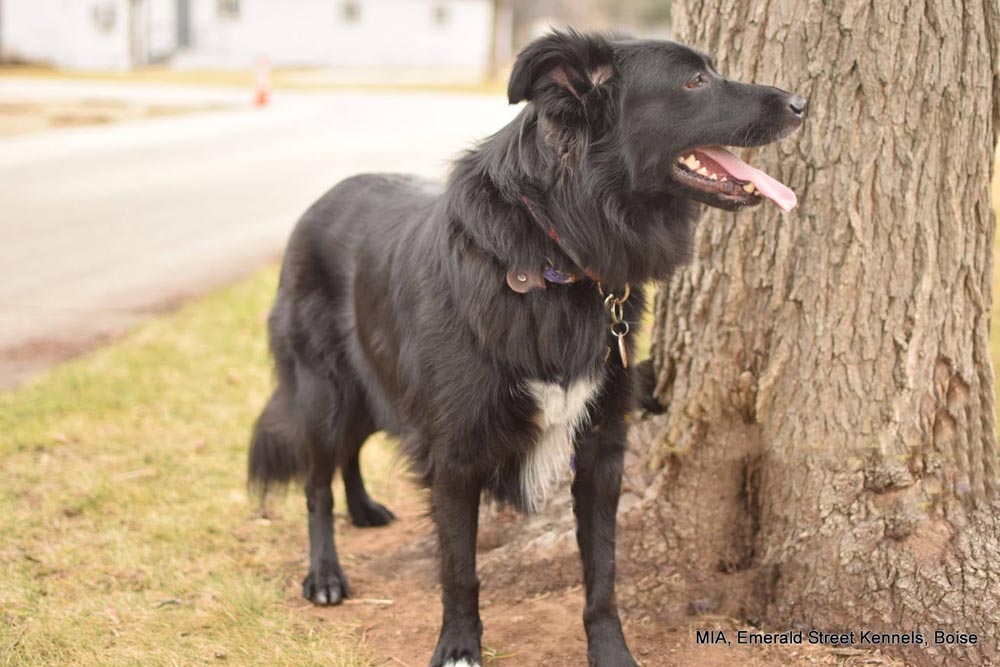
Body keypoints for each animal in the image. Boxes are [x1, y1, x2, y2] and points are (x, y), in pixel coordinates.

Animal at [248, 30, 805, 667]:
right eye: (695, 81)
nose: (801, 103)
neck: (553, 248)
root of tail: (321, 201)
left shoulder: (601, 449)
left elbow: (603, 572)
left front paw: (611, 650)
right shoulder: (455, 453)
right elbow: (459, 569)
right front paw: (459, 646)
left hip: (373, 386)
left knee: (350, 450)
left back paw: (363, 510)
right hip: (325, 392)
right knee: (316, 481)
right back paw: (324, 575)